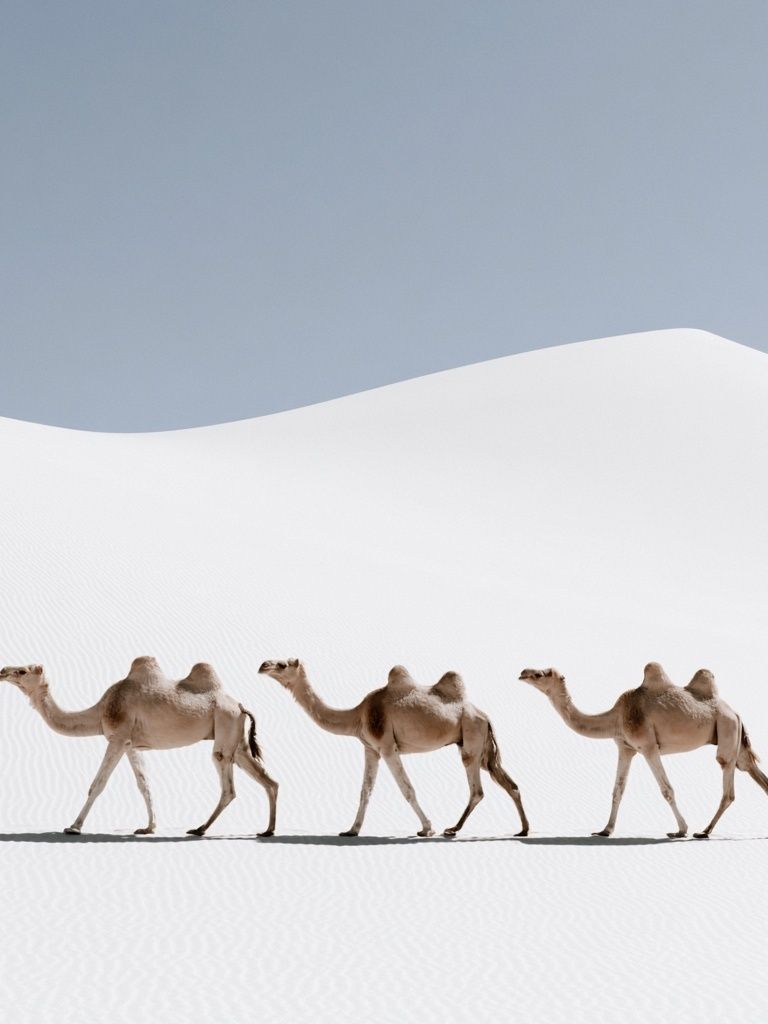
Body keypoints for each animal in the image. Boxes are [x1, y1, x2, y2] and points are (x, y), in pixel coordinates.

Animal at [0, 658, 278, 836]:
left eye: (22, 671)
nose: (3, 670)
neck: (100, 712)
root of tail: (239, 705)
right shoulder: (131, 745)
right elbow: (144, 784)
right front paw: (148, 828)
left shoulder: (117, 738)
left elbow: (97, 784)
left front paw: (73, 827)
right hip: (236, 741)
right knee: (268, 780)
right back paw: (267, 830)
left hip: (225, 725)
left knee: (228, 784)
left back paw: (200, 829)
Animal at [258, 659, 529, 837]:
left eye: (282, 664)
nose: (263, 665)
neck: (357, 716)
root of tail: (484, 715)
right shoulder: (371, 749)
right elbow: (365, 791)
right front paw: (351, 830)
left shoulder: (388, 748)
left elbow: (407, 789)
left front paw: (427, 828)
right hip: (479, 746)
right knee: (509, 783)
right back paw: (523, 829)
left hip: (471, 737)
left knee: (477, 789)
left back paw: (452, 829)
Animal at [520, 662, 768, 838]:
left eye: (541, 674)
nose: (523, 672)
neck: (617, 717)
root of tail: (735, 711)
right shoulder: (625, 748)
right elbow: (618, 790)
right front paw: (605, 830)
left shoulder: (648, 746)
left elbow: (667, 789)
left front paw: (681, 830)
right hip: (736, 740)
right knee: (752, 770)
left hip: (726, 728)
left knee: (728, 783)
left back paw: (703, 831)